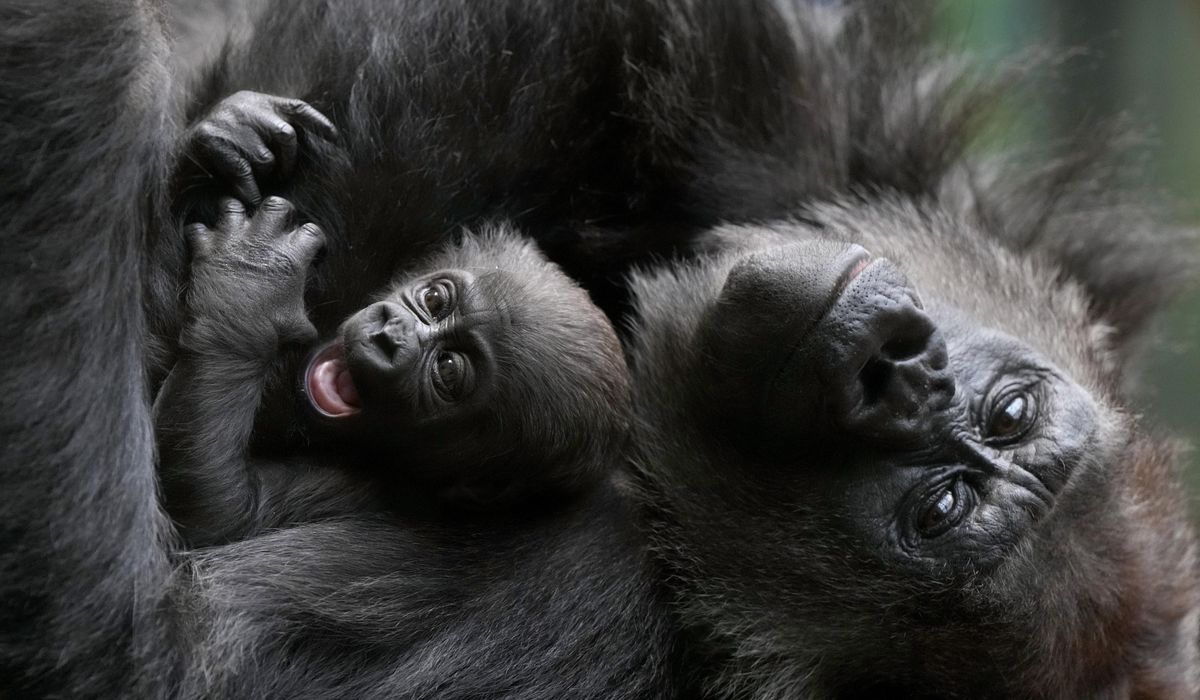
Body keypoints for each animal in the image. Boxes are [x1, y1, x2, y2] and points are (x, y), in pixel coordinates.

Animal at [154, 196, 633, 547]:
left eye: (448, 368)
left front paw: (248, 292)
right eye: (435, 299)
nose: (388, 335)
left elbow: (222, 512)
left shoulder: (377, 491)